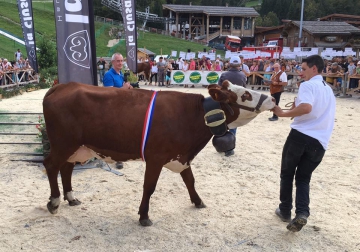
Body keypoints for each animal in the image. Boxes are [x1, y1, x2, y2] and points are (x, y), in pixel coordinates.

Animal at [42, 79, 274, 225]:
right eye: (245, 94)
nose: (272, 98)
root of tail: (63, 85)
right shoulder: (155, 157)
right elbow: (149, 187)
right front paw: (144, 216)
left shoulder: (181, 157)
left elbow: (190, 180)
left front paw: (198, 201)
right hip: (63, 143)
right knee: (51, 165)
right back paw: (54, 202)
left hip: (78, 148)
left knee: (66, 169)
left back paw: (71, 198)